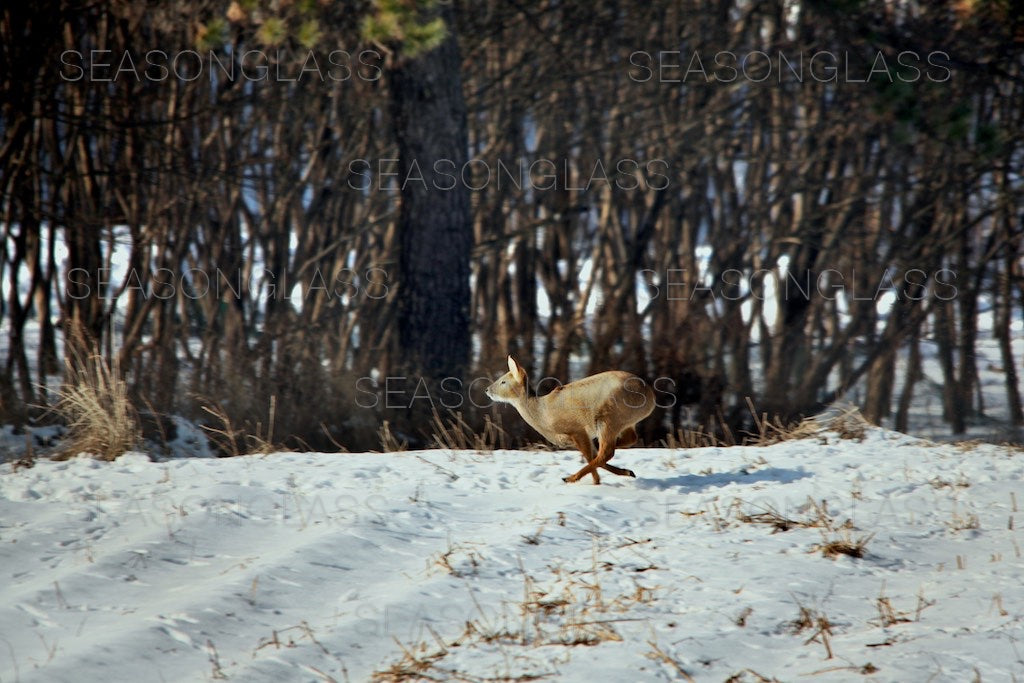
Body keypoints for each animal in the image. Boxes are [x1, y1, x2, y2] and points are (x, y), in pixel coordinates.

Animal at [485, 356, 655, 483]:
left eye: (503, 381)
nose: (487, 390)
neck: (542, 414)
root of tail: (651, 396)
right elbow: (590, 455)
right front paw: (625, 472)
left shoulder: (577, 429)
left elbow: (590, 455)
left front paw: (596, 481)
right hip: (624, 421)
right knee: (628, 440)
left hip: (609, 418)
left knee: (606, 452)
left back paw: (570, 478)